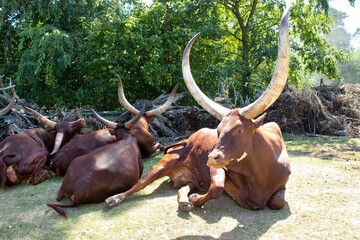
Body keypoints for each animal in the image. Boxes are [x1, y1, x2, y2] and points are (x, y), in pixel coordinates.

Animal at [105, 7, 292, 212]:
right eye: (218, 130)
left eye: (239, 130)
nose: (212, 157)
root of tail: (187, 139)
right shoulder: (218, 169)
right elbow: (217, 187)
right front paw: (196, 199)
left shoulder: (282, 186)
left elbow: (277, 202)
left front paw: (192, 199)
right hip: (164, 163)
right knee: (141, 183)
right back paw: (115, 198)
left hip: (190, 178)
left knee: (184, 186)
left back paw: (184, 199)